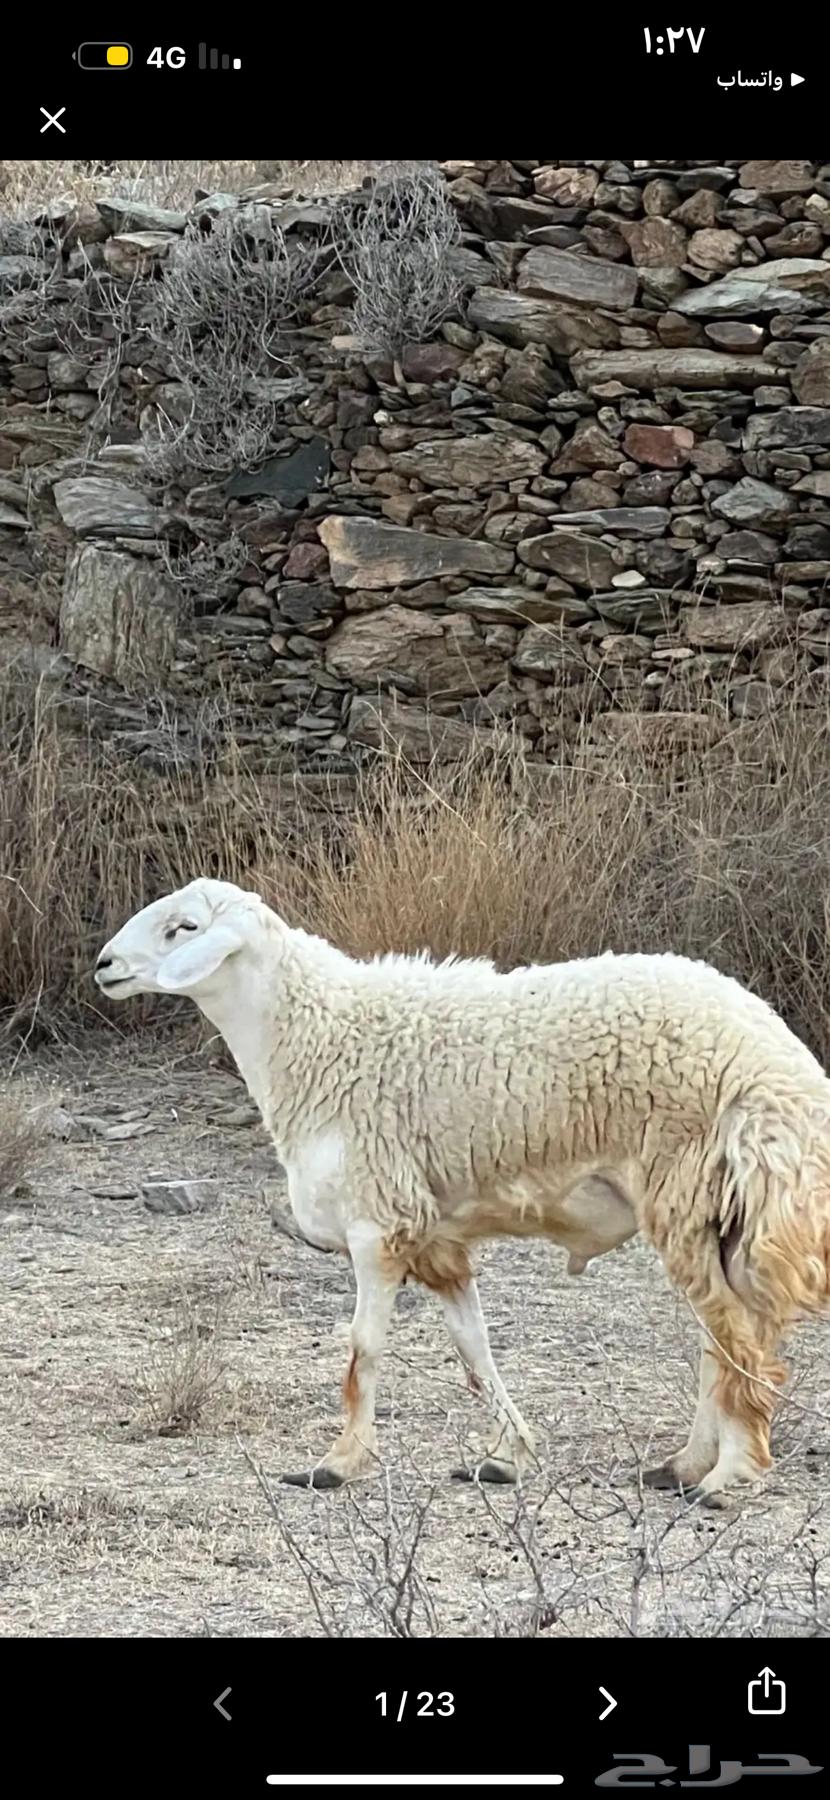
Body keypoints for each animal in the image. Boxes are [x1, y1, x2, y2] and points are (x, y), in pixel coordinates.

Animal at [95, 876, 830, 1504]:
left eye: (184, 928)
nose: (104, 965)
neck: (315, 1038)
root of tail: (783, 1068)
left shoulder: (377, 1222)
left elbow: (363, 1350)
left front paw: (339, 1463)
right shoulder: (433, 1236)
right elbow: (473, 1348)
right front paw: (510, 1454)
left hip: (690, 1186)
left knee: (734, 1335)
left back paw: (729, 1476)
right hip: (715, 1209)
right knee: (721, 1336)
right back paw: (685, 1465)